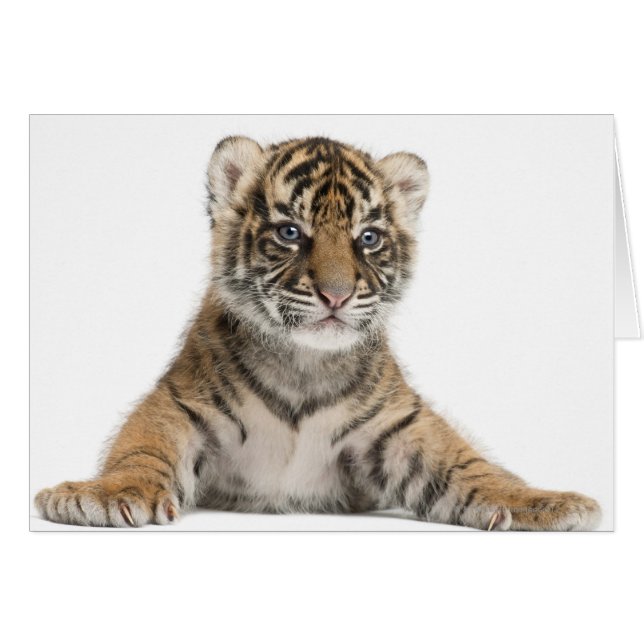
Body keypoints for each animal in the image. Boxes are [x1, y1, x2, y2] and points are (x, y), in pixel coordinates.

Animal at [35, 135, 601, 530]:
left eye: (367, 238)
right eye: (291, 232)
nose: (337, 296)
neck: (304, 364)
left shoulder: (401, 425)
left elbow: (468, 463)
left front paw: (545, 502)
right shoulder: (179, 402)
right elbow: (142, 447)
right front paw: (105, 494)